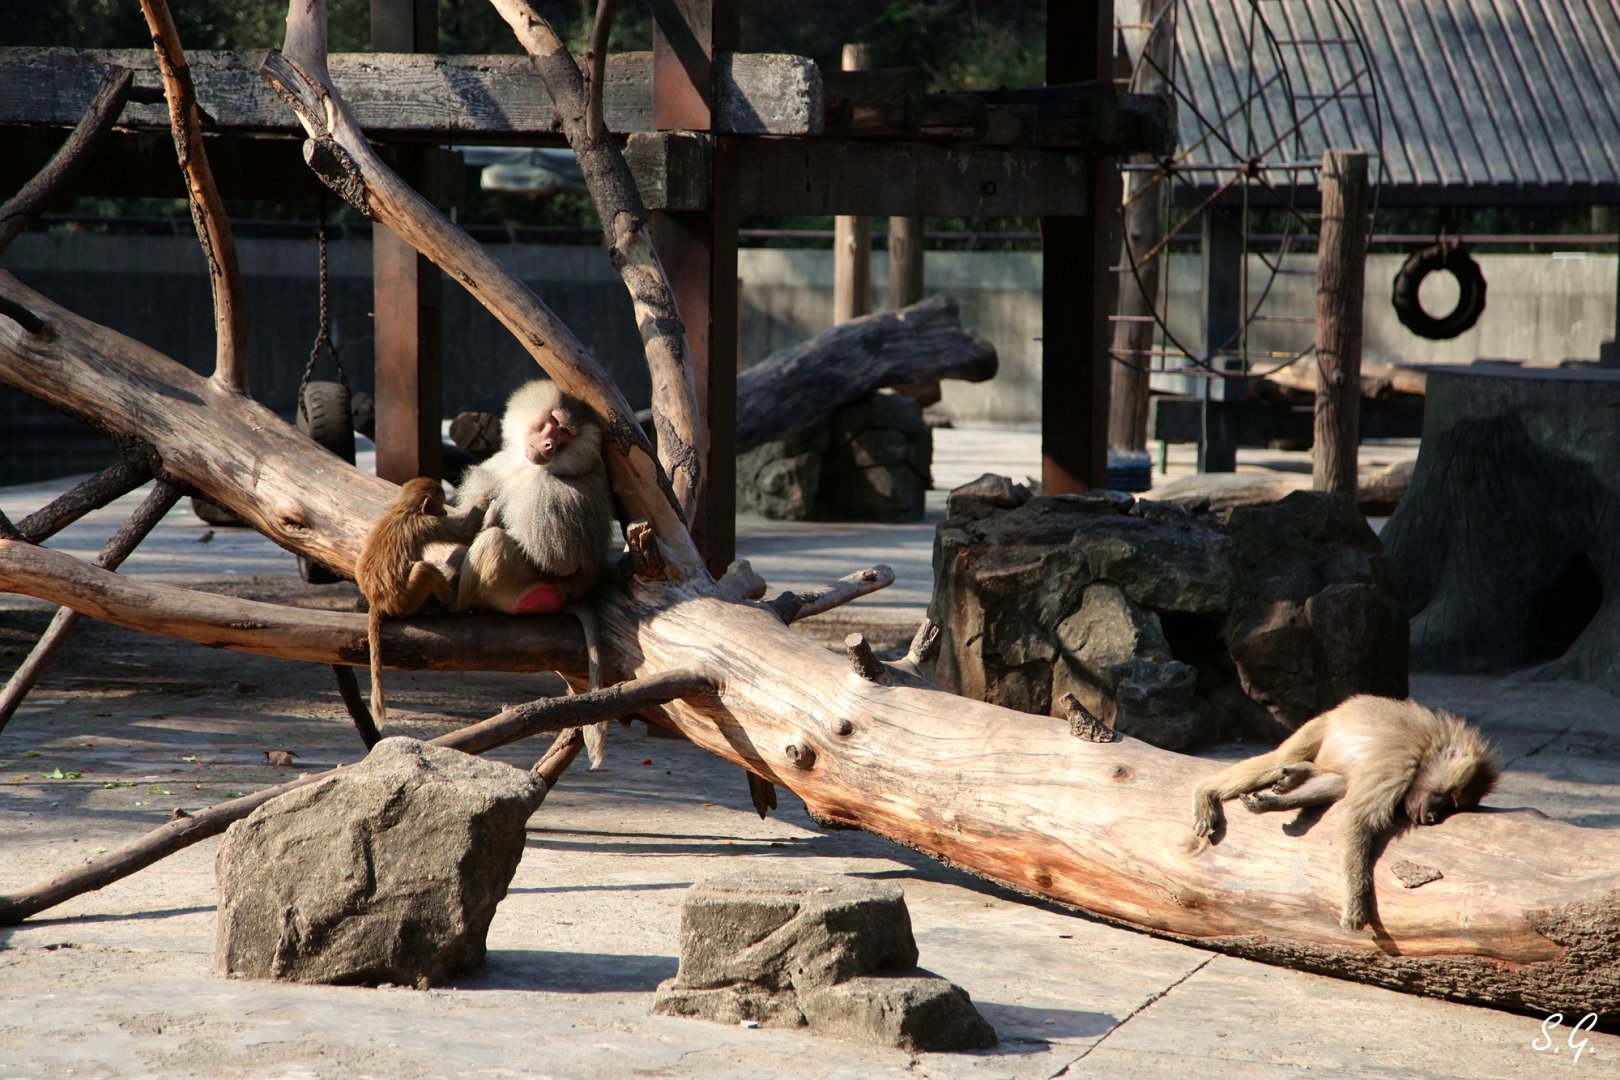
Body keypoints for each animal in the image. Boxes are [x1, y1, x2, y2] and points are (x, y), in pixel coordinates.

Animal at [355, 477, 486, 729]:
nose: (444, 511)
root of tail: (378, 601)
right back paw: (447, 602)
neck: (403, 510)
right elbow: (466, 533)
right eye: (440, 504)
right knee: (423, 569)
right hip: (407, 600)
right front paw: (486, 497)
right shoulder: (427, 523)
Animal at [452, 380, 614, 765]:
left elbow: (559, 560)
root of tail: (571, 597)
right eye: (554, 423)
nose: (549, 445)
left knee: (494, 543)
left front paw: (494, 511)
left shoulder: (555, 495)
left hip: (522, 587)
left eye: (568, 434)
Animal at [1189, 695, 1499, 932]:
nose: (1432, 817)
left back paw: (1293, 781)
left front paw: (1273, 802)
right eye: (1446, 798)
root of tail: (1340, 708)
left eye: (1451, 805)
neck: (1427, 749)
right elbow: (1355, 817)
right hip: (1318, 727)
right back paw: (1206, 792)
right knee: (1281, 759)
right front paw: (1356, 906)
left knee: (1334, 781)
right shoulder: (1398, 766)